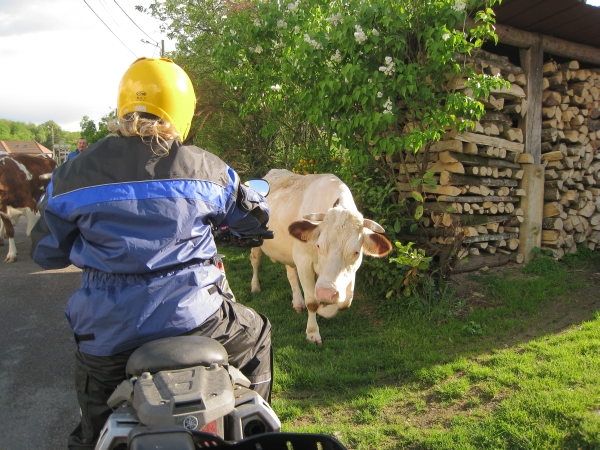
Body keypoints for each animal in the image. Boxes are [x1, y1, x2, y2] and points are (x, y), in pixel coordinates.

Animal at [250, 169, 394, 344]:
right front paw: (313, 333)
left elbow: (345, 302)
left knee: (291, 273)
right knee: (255, 261)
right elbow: (312, 302)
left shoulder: (349, 272)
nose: (326, 293)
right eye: (318, 245)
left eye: (356, 252)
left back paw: (297, 302)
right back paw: (255, 286)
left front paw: (324, 310)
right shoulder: (304, 262)